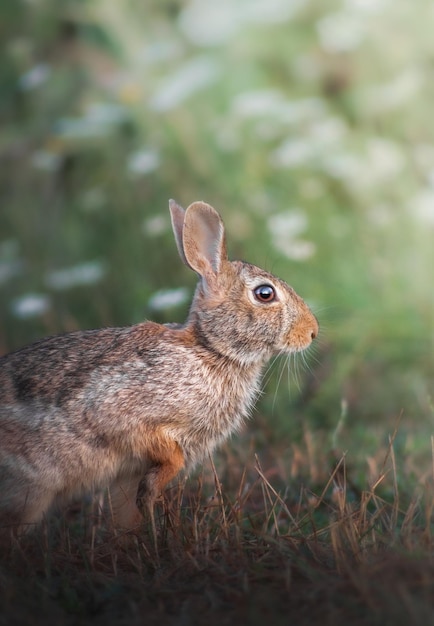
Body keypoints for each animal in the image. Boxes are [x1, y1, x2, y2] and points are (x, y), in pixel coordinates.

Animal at [0, 199, 318, 536]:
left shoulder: (127, 475)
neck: (209, 349)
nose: (313, 332)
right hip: (29, 491)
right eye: (264, 294)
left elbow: (127, 511)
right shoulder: (123, 413)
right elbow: (163, 452)